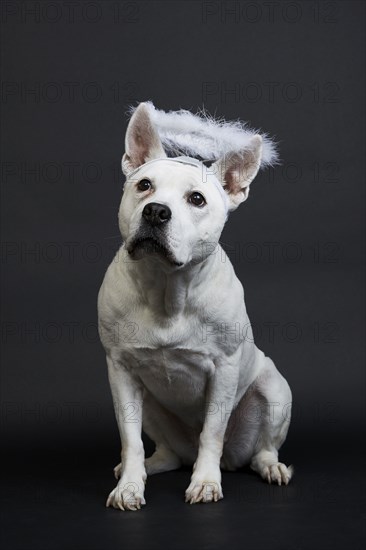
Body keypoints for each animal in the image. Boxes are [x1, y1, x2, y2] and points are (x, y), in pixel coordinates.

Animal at [97, 103, 292, 512]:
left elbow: (212, 433)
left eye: (197, 200)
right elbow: (129, 438)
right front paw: (129, 486)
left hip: (274, 390)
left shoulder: (224, 370)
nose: (155, 211)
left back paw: (270, 466)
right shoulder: (120, 370)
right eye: (144, 185)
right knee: (165, 451)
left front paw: (204, 482)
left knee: (260, 449)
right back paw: (143, 467)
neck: (167, 287)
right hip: (152, 406)